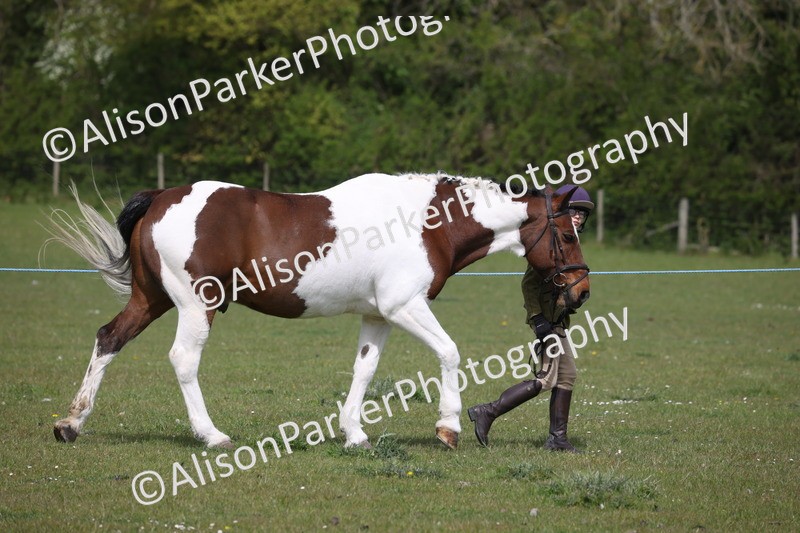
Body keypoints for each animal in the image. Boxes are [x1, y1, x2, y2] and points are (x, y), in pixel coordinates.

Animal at [46, 172, 590, 450]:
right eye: (566, 235)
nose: (581, 291)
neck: (426, 222)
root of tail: (163, 196)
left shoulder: (378, 316)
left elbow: (364, 370)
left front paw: (354, 434)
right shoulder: (405, 307)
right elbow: (450, 353)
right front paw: (449, 427)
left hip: (151, 298)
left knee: (108, 338)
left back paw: (71, 424)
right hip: (195, 304)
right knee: (183, 360)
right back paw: (211, 435)